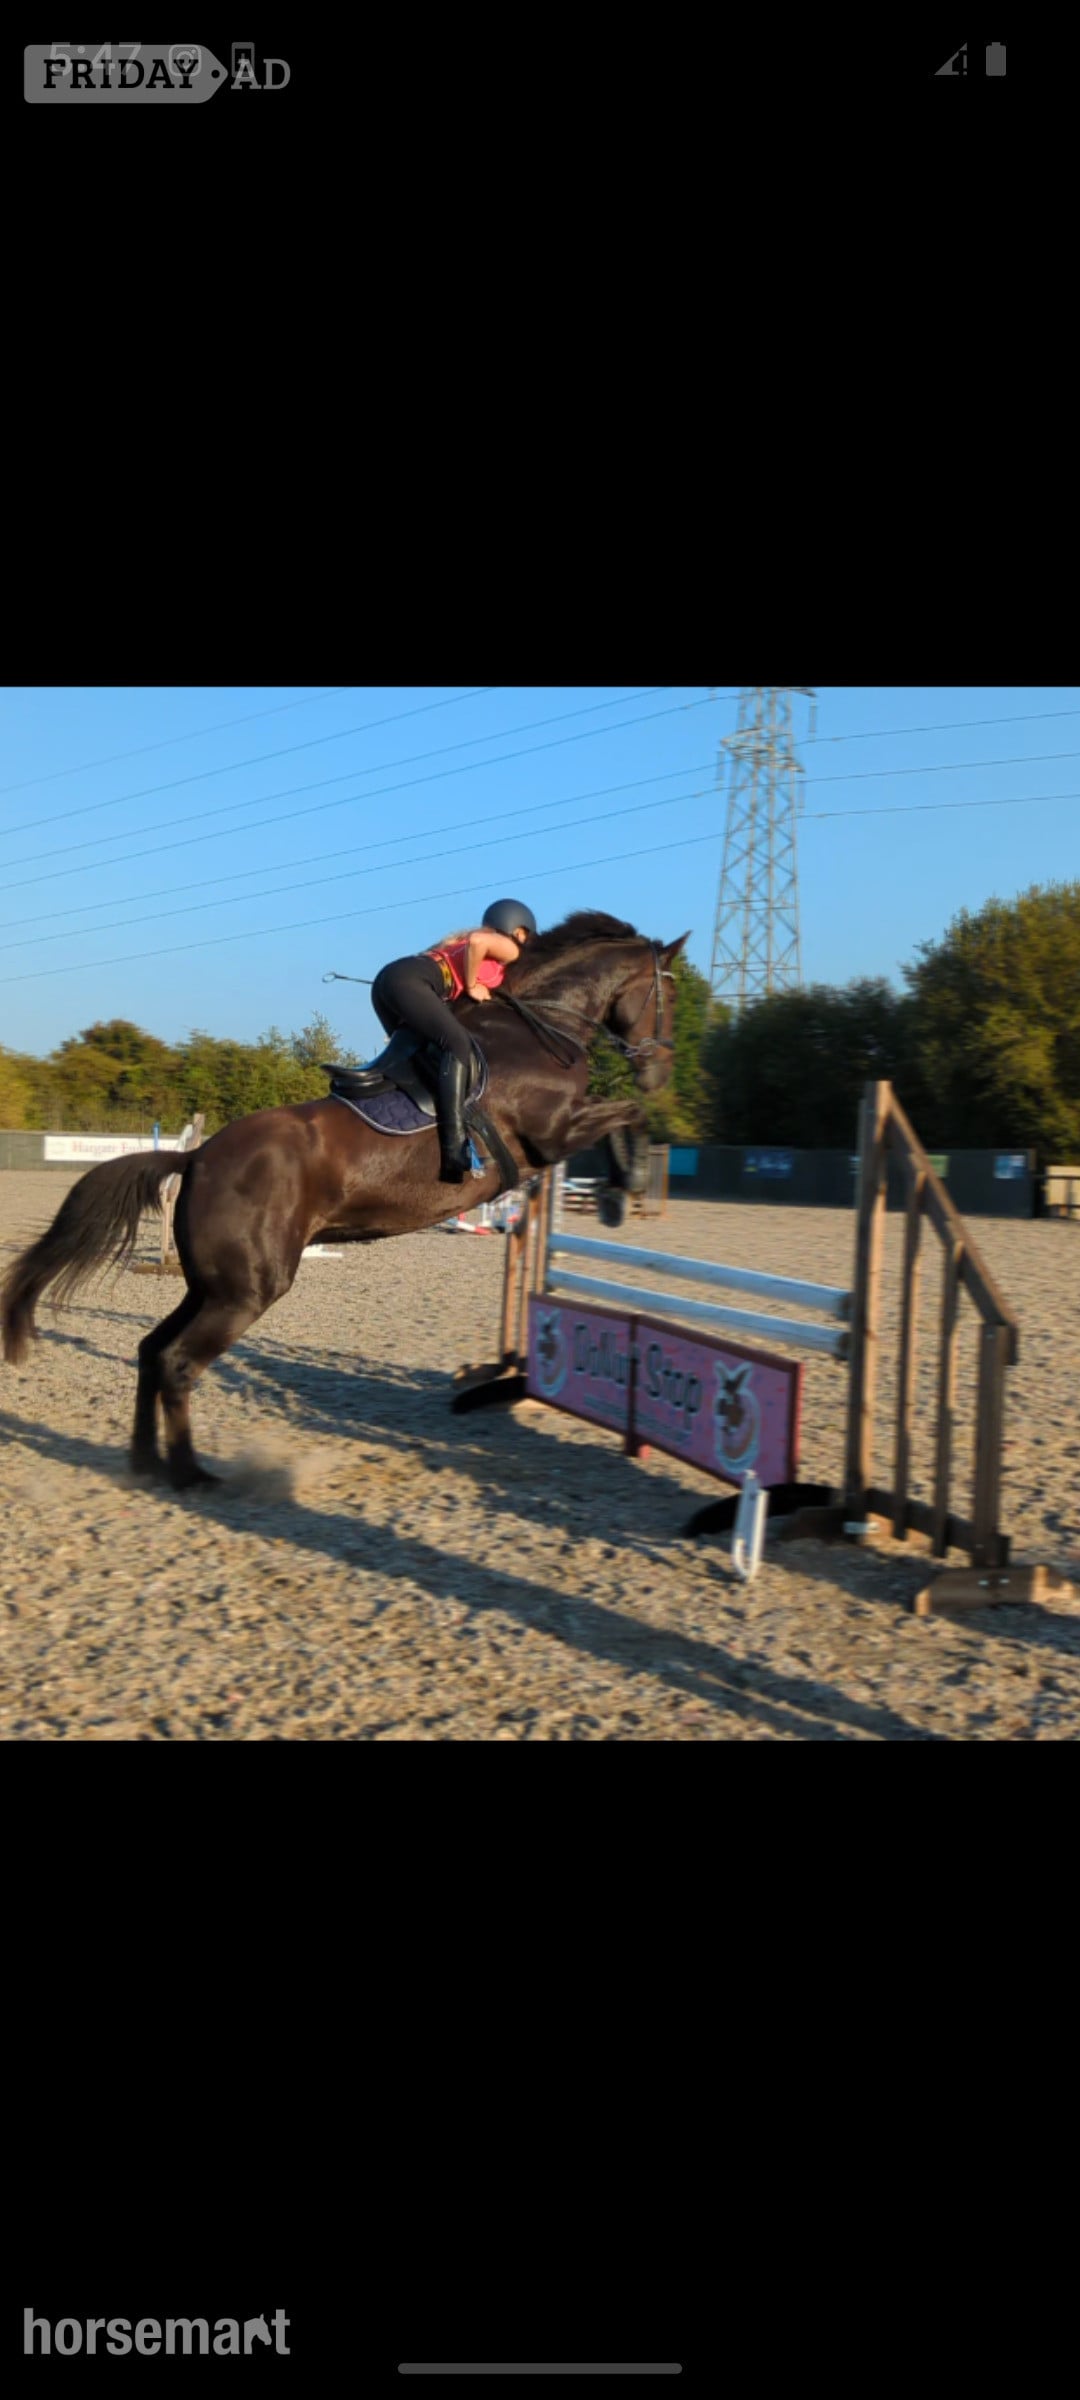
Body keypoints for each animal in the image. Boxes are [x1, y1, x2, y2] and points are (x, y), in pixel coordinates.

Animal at [1, 912, 688, 1490]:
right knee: (176, 1363)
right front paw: (622, 1189)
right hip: (247, 1291)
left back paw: (146, 1462)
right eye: (673, 995)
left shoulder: (559, 1132)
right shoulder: (554, 1131)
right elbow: (629, 1115)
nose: (661, 1070)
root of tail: (196, 1159)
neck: (540, 1023)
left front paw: (619, 1189)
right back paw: (192, 1473)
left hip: (214, 1286)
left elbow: (627, 1114)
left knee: (151, 1352)